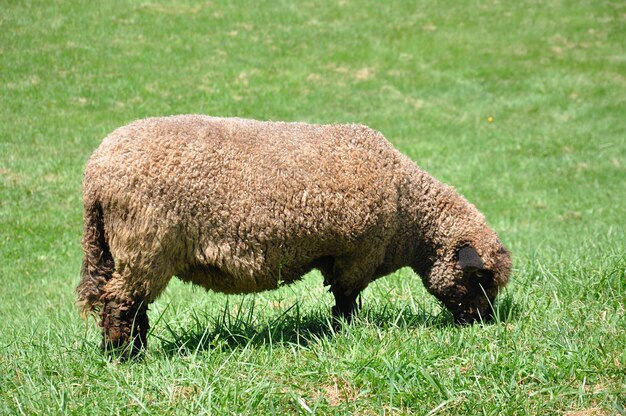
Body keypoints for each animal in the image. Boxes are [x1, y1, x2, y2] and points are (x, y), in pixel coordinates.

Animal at [75, 115, 510, 356]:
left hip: (112, 249)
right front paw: (347, 332)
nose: (484, 323)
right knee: (122, 304)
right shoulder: (356, 256)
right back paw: (125, 356)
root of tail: (96, 174)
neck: (409, 214)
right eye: (481, 278)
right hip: (144, 244)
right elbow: (347, 299)